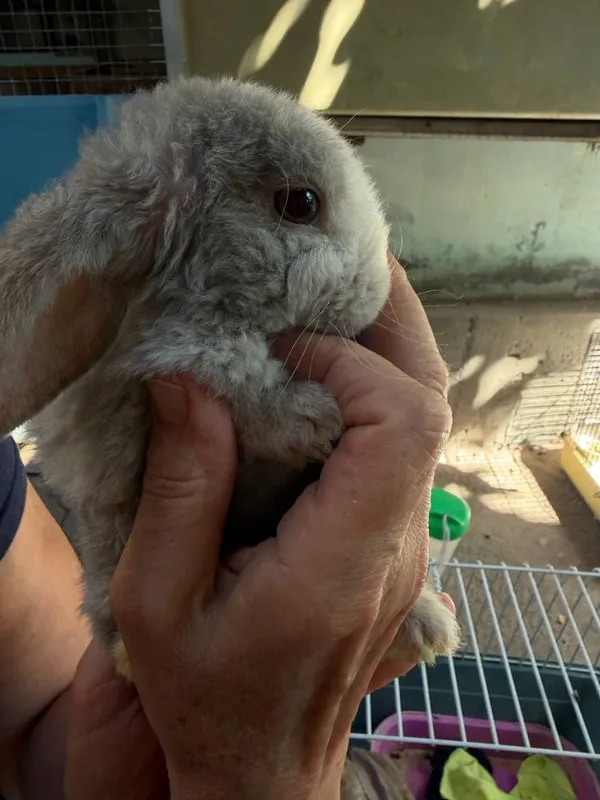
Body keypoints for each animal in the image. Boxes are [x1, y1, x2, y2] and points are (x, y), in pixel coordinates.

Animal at [0, 76, 459, 679]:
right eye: (300, 203)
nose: (374, 295)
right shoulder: (152, 370)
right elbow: (219, 366)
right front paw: (313, 421)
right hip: (108, 530)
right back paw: (124, 651)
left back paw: (428, 625)